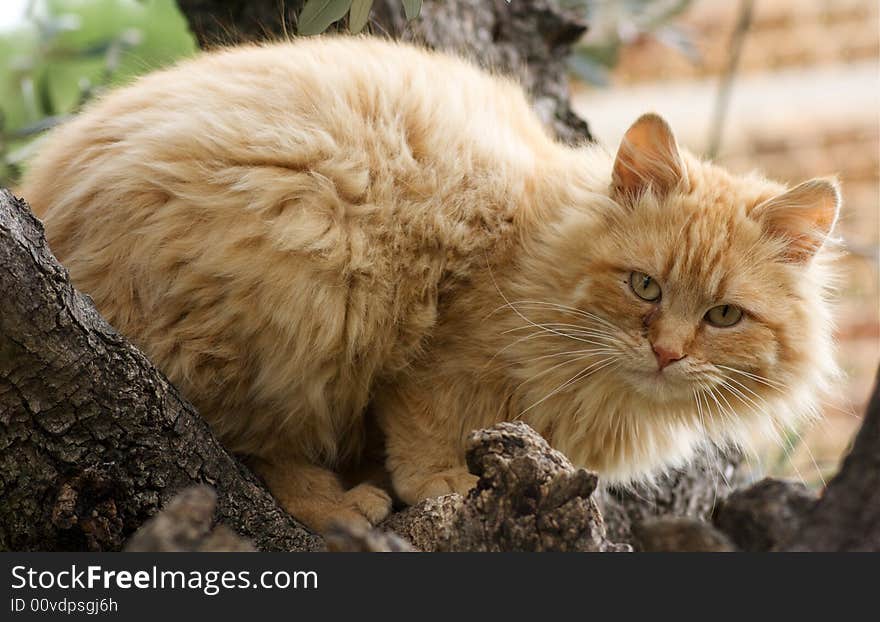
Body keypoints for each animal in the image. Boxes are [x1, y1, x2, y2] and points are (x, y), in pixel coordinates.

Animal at [20, 36, 844, 532]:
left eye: (725, 316)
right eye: (645, 287)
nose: (668, 353)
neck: (537, 242)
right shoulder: (441, 345)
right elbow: (426, 418)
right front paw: (439, 482)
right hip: (302, 295)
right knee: (245, 442)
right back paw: (341, 505)